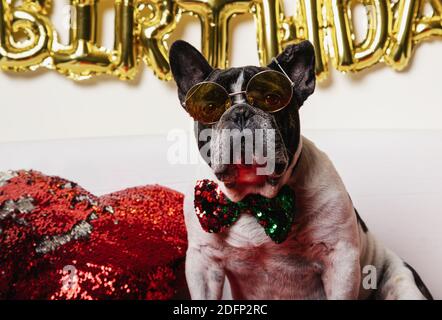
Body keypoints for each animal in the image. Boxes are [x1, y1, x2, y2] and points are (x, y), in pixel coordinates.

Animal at [168, 40, 432, 300]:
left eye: (272, 99)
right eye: (210, 107)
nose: (240, 113)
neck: (253, 198)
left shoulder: (340, 259)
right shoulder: (202, 262)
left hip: (402, 281)